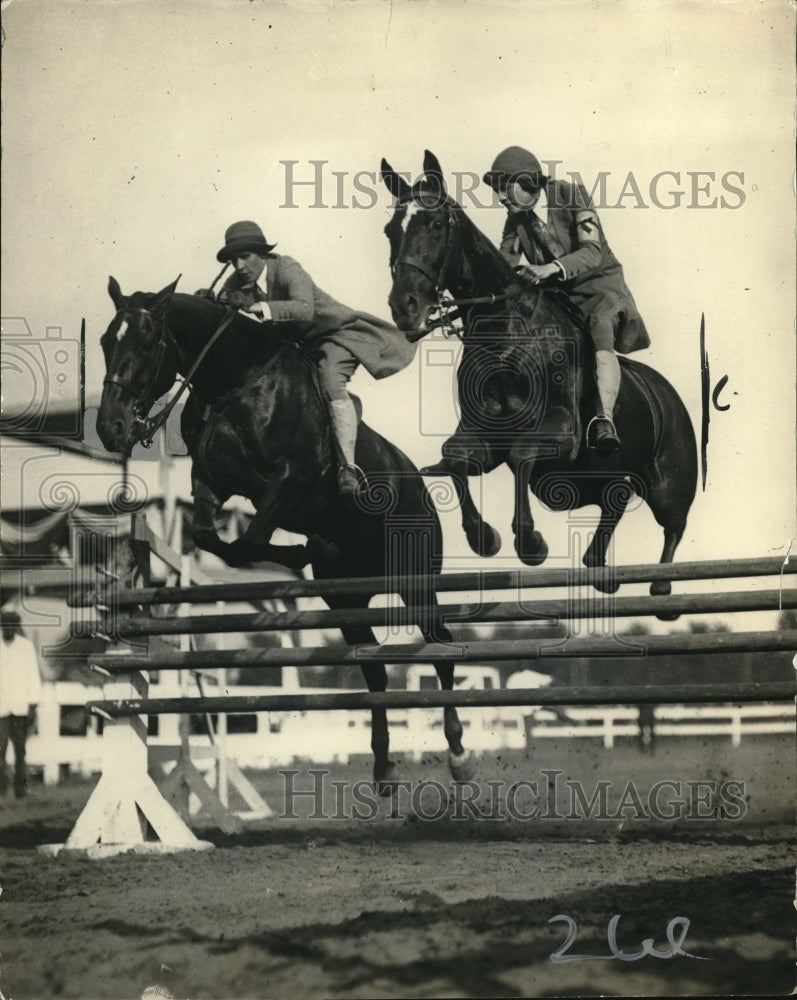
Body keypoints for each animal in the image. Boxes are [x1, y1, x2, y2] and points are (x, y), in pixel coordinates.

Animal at [97, 280, 476, 788]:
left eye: (144, 340)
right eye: (105, 342)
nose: (109, 427)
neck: (236, 380)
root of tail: (417, 482)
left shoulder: (291, 481)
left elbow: (251, 539)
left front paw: (304, 548)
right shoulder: (212, 483)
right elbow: (213, 539)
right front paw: (311, 546)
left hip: (416, 581)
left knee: (442, 648)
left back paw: (458, 756)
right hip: (346, 597)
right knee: (374, 668)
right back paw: (382, 766)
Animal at [380, 152, 696, 612]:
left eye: (436, 224)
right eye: (391, 230)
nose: (404, 308)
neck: (505, 331)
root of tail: (669, 394)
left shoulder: (561, 434)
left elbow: (521, 455)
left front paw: (530, 544)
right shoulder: (484, 436)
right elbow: (455, 459)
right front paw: (484, 538)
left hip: (669, 479)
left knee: (673, 523)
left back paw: (660, 587)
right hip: (574, 482)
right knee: (615, 496)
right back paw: (598, 568)